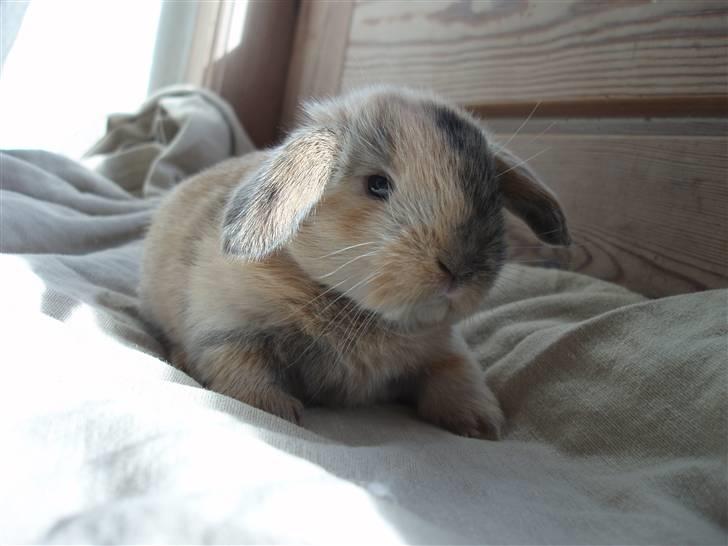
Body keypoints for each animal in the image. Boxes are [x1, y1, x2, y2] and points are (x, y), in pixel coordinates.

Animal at [136, 87, 568, 440]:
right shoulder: (228, 331)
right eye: (377, 185)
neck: (363, 312)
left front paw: (481, 424)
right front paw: (277, 411)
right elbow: (245, 375)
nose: (459, 269)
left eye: (491, 194)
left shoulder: (446, 350)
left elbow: (459, 377)